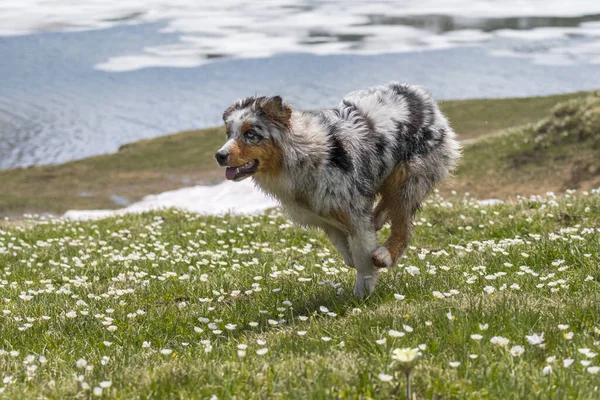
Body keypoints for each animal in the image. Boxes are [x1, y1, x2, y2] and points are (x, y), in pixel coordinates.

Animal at [218, 81, 462, 296]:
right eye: (229, 133)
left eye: (251, 134)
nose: (219, 155)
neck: (301, 156)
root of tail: (421, 96)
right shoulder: (324, 215)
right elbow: (348, 254)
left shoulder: (353, 212)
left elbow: (363, 257)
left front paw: (363, 293)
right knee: (387, 205)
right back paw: (377, 222)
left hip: (410, 175)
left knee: (403, 225)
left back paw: (384, 255)